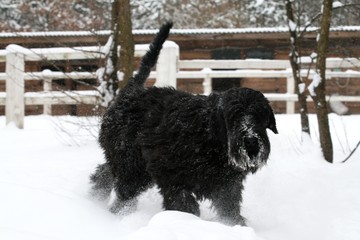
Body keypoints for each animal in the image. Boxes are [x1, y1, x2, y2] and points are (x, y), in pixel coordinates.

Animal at [90, 22, 278, 225]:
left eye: (259, 115)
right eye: (233, 115)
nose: (251, 140)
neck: (210, 134)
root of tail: (130, 92)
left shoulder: (227, 186)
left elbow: (230, 211)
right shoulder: (171, 177)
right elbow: (184, 204)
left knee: (104, 172)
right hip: (132, 167)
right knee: (123, 192)